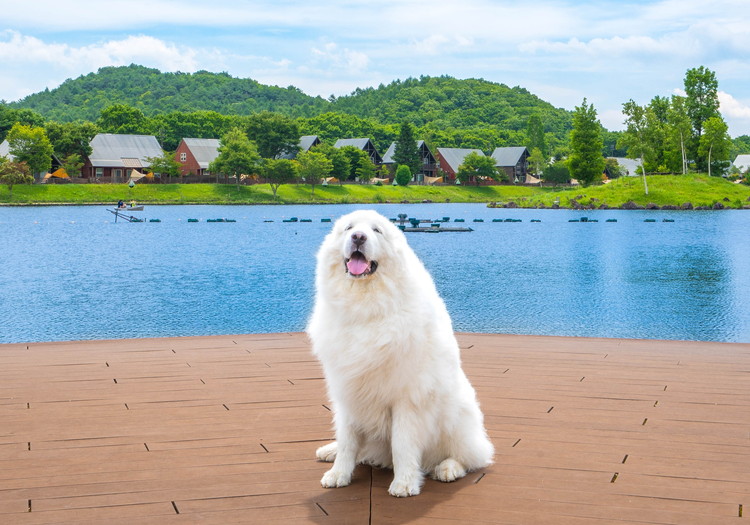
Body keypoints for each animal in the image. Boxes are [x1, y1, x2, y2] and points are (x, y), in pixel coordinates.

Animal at [308, 209, 496, 496]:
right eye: (348, 228)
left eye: (376, 230)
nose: (358, 237)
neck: (366, 308)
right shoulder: (348, 390)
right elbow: (348, 441)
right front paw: (338, 474)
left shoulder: (407, 398)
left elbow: (402, 443)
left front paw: (405, 483)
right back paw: (329, 450)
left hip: (458, 416)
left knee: (472, 456)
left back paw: (448, 468)